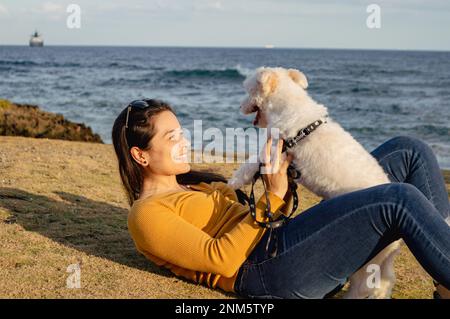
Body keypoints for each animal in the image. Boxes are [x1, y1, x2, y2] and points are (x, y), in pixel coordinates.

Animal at [230, 67, 402, 300]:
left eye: (248, 91)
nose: (239, 106)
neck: (290, 106)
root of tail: (397, 242)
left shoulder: (274, 153)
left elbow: (250, 164)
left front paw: (234, 181)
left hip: (370, 260)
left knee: (365, 286)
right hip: (381, 259)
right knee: (383, 284)